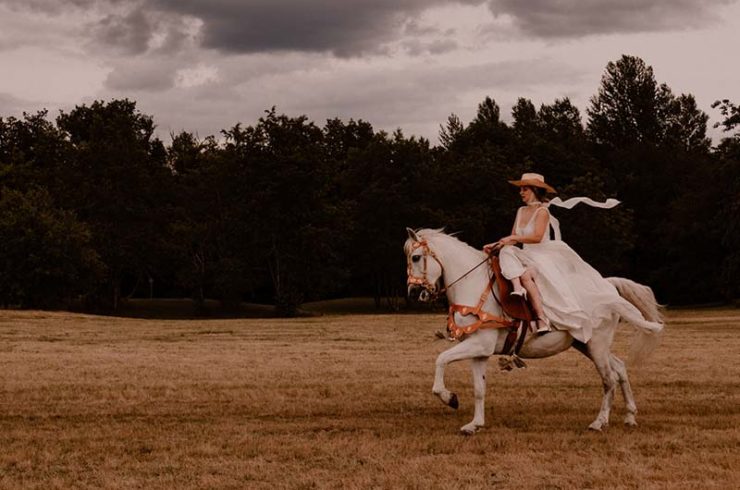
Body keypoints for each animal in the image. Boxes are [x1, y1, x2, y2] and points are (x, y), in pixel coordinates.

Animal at [404, 228, 664, 434]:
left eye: (416, 257)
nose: (413, 293)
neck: (474, 286)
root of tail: (607, 286)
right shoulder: (480, 352)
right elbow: (479, 388)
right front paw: (474, 424)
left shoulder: (478, 344)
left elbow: (441, 360)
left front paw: (449, 398)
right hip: (586, 344)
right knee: (619, 368)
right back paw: (630, 416)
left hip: (597, 345)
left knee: (608, 379)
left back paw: (599, 422)